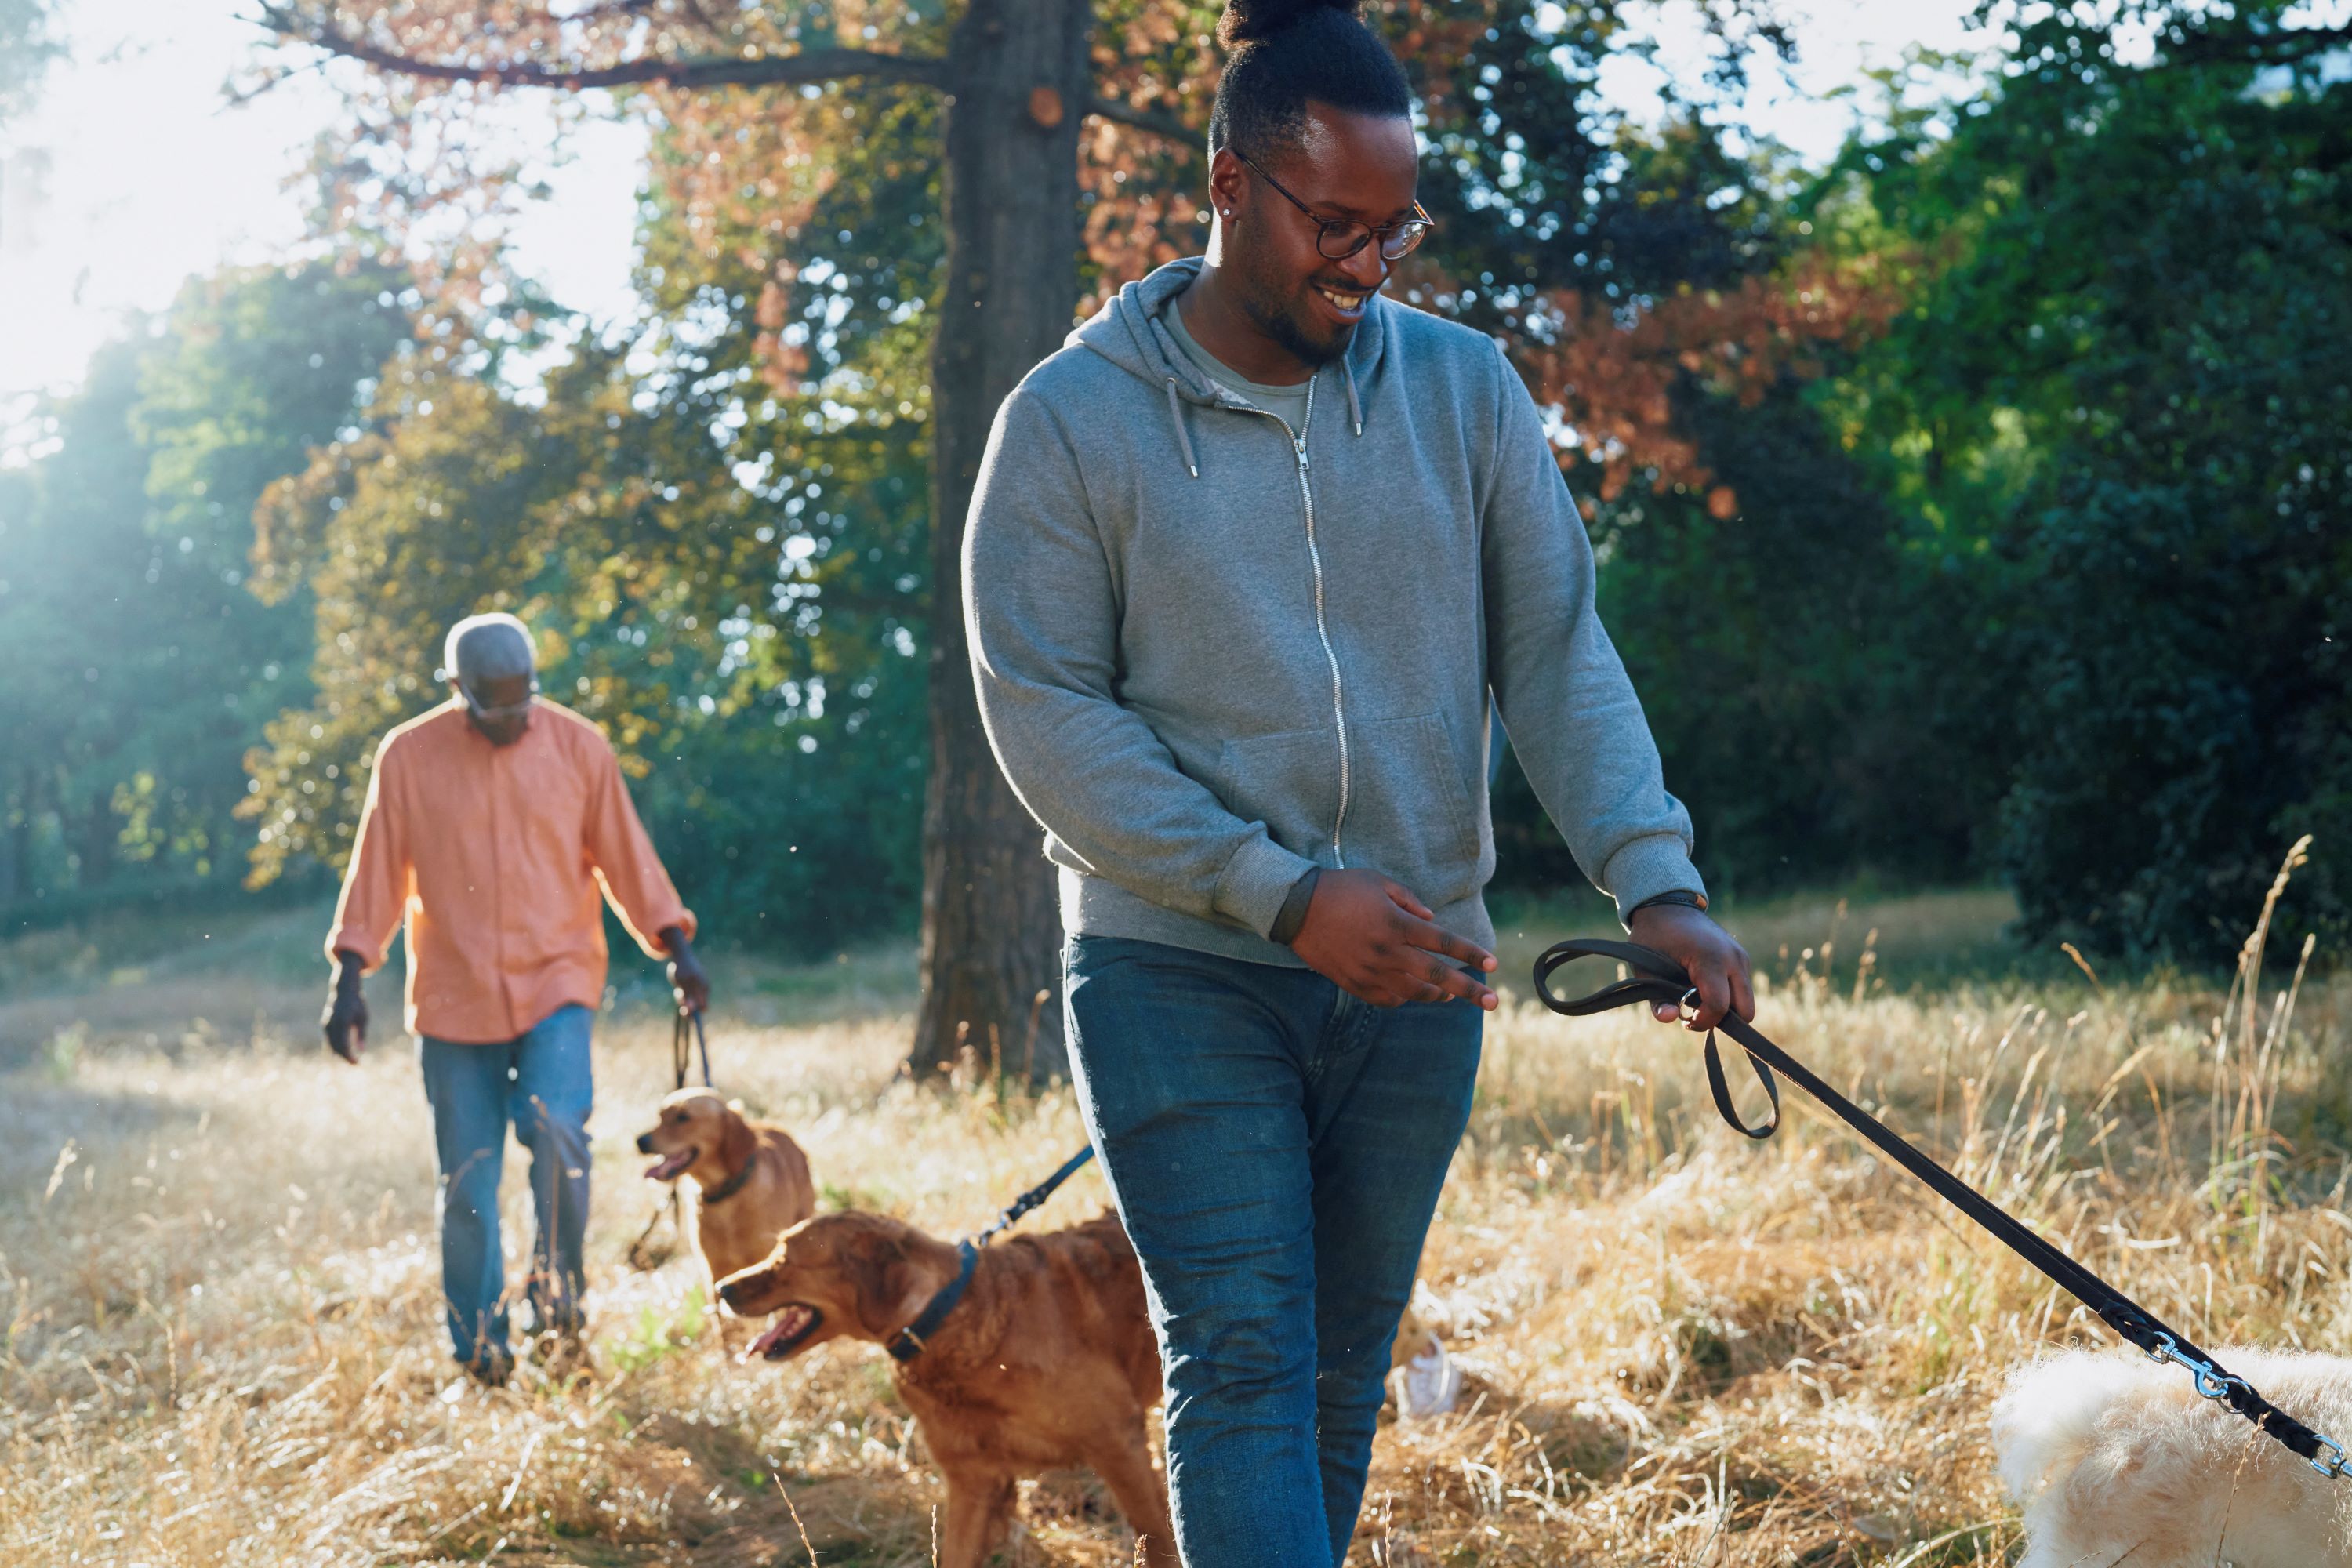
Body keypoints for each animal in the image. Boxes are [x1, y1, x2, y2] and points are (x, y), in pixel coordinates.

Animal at [715, 1213, 1176, 1568]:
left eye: (786, 1258)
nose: (721, 1288)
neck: (946, 1320)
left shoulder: (1119, 1444)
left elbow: (1158, 1538)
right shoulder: (973, 1479)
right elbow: (956, 1553)